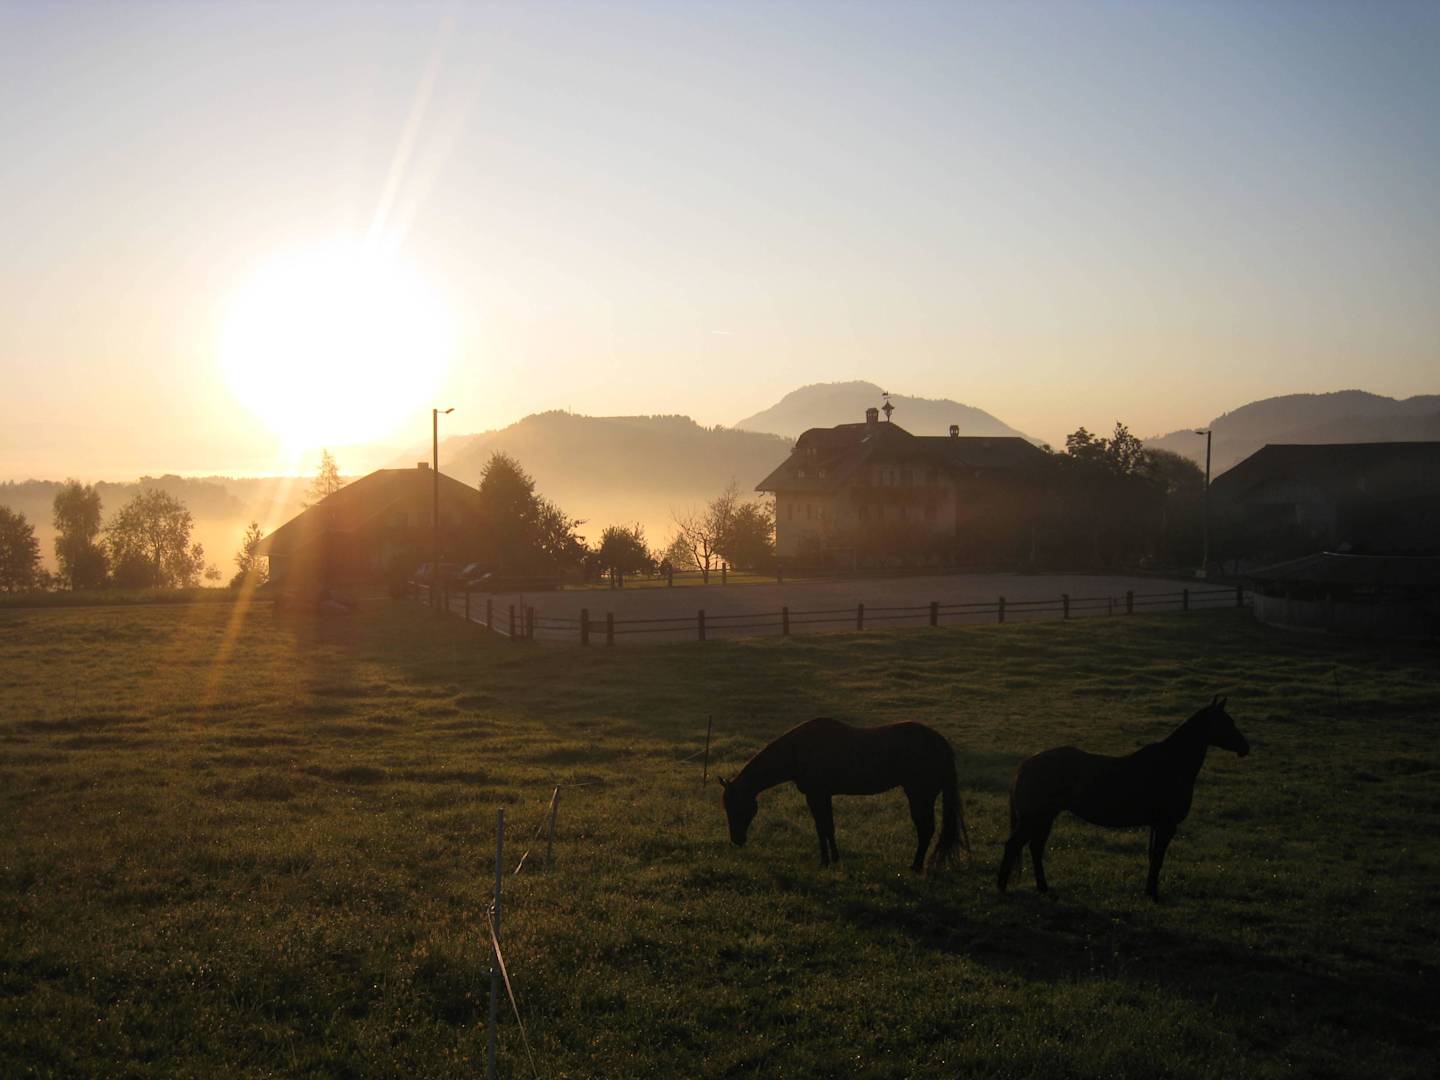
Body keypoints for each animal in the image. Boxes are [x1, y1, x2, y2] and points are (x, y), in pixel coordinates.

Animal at [720, 717, 970, 874]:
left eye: (736, 807)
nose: (737, 840)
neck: (798, 750)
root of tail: (940, 742)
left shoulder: (816, 795)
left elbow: (823, 827)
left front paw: (827, 861)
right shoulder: (822, 795)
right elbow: (826, 828)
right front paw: (831, 859)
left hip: (920, 795)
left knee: (925, 829)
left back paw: (915, 867)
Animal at [998, 695, 1249, 900]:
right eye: (1227, 723)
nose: (1245, 747)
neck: (1172, 764)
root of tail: (1026, 764)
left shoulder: (1158, 826)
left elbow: (1154, 858)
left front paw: (1148, 891)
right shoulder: (1167, 825)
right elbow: (1158, 859)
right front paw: (1153, 894)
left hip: (1045, 818)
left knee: (1035, 848)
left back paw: (1043, 888)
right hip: (1034, 818)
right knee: (1013, 846)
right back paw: (1002, 888)